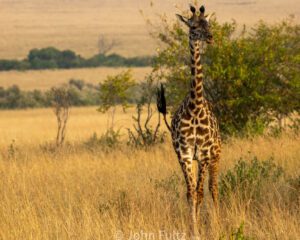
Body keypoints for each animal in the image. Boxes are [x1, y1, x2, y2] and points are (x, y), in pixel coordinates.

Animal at [157, 3, 220, 238]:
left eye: (208, 23)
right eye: (193, 26)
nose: (210, 37)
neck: (195, 107)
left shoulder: (203, 153)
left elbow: (201, 193)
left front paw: (203, 230)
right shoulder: (184, 154)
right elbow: (190, 193)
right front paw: (193, 230)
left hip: (215, 155)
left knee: (213, 189)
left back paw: (218, 224)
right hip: (194, 159)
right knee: (198, 190)